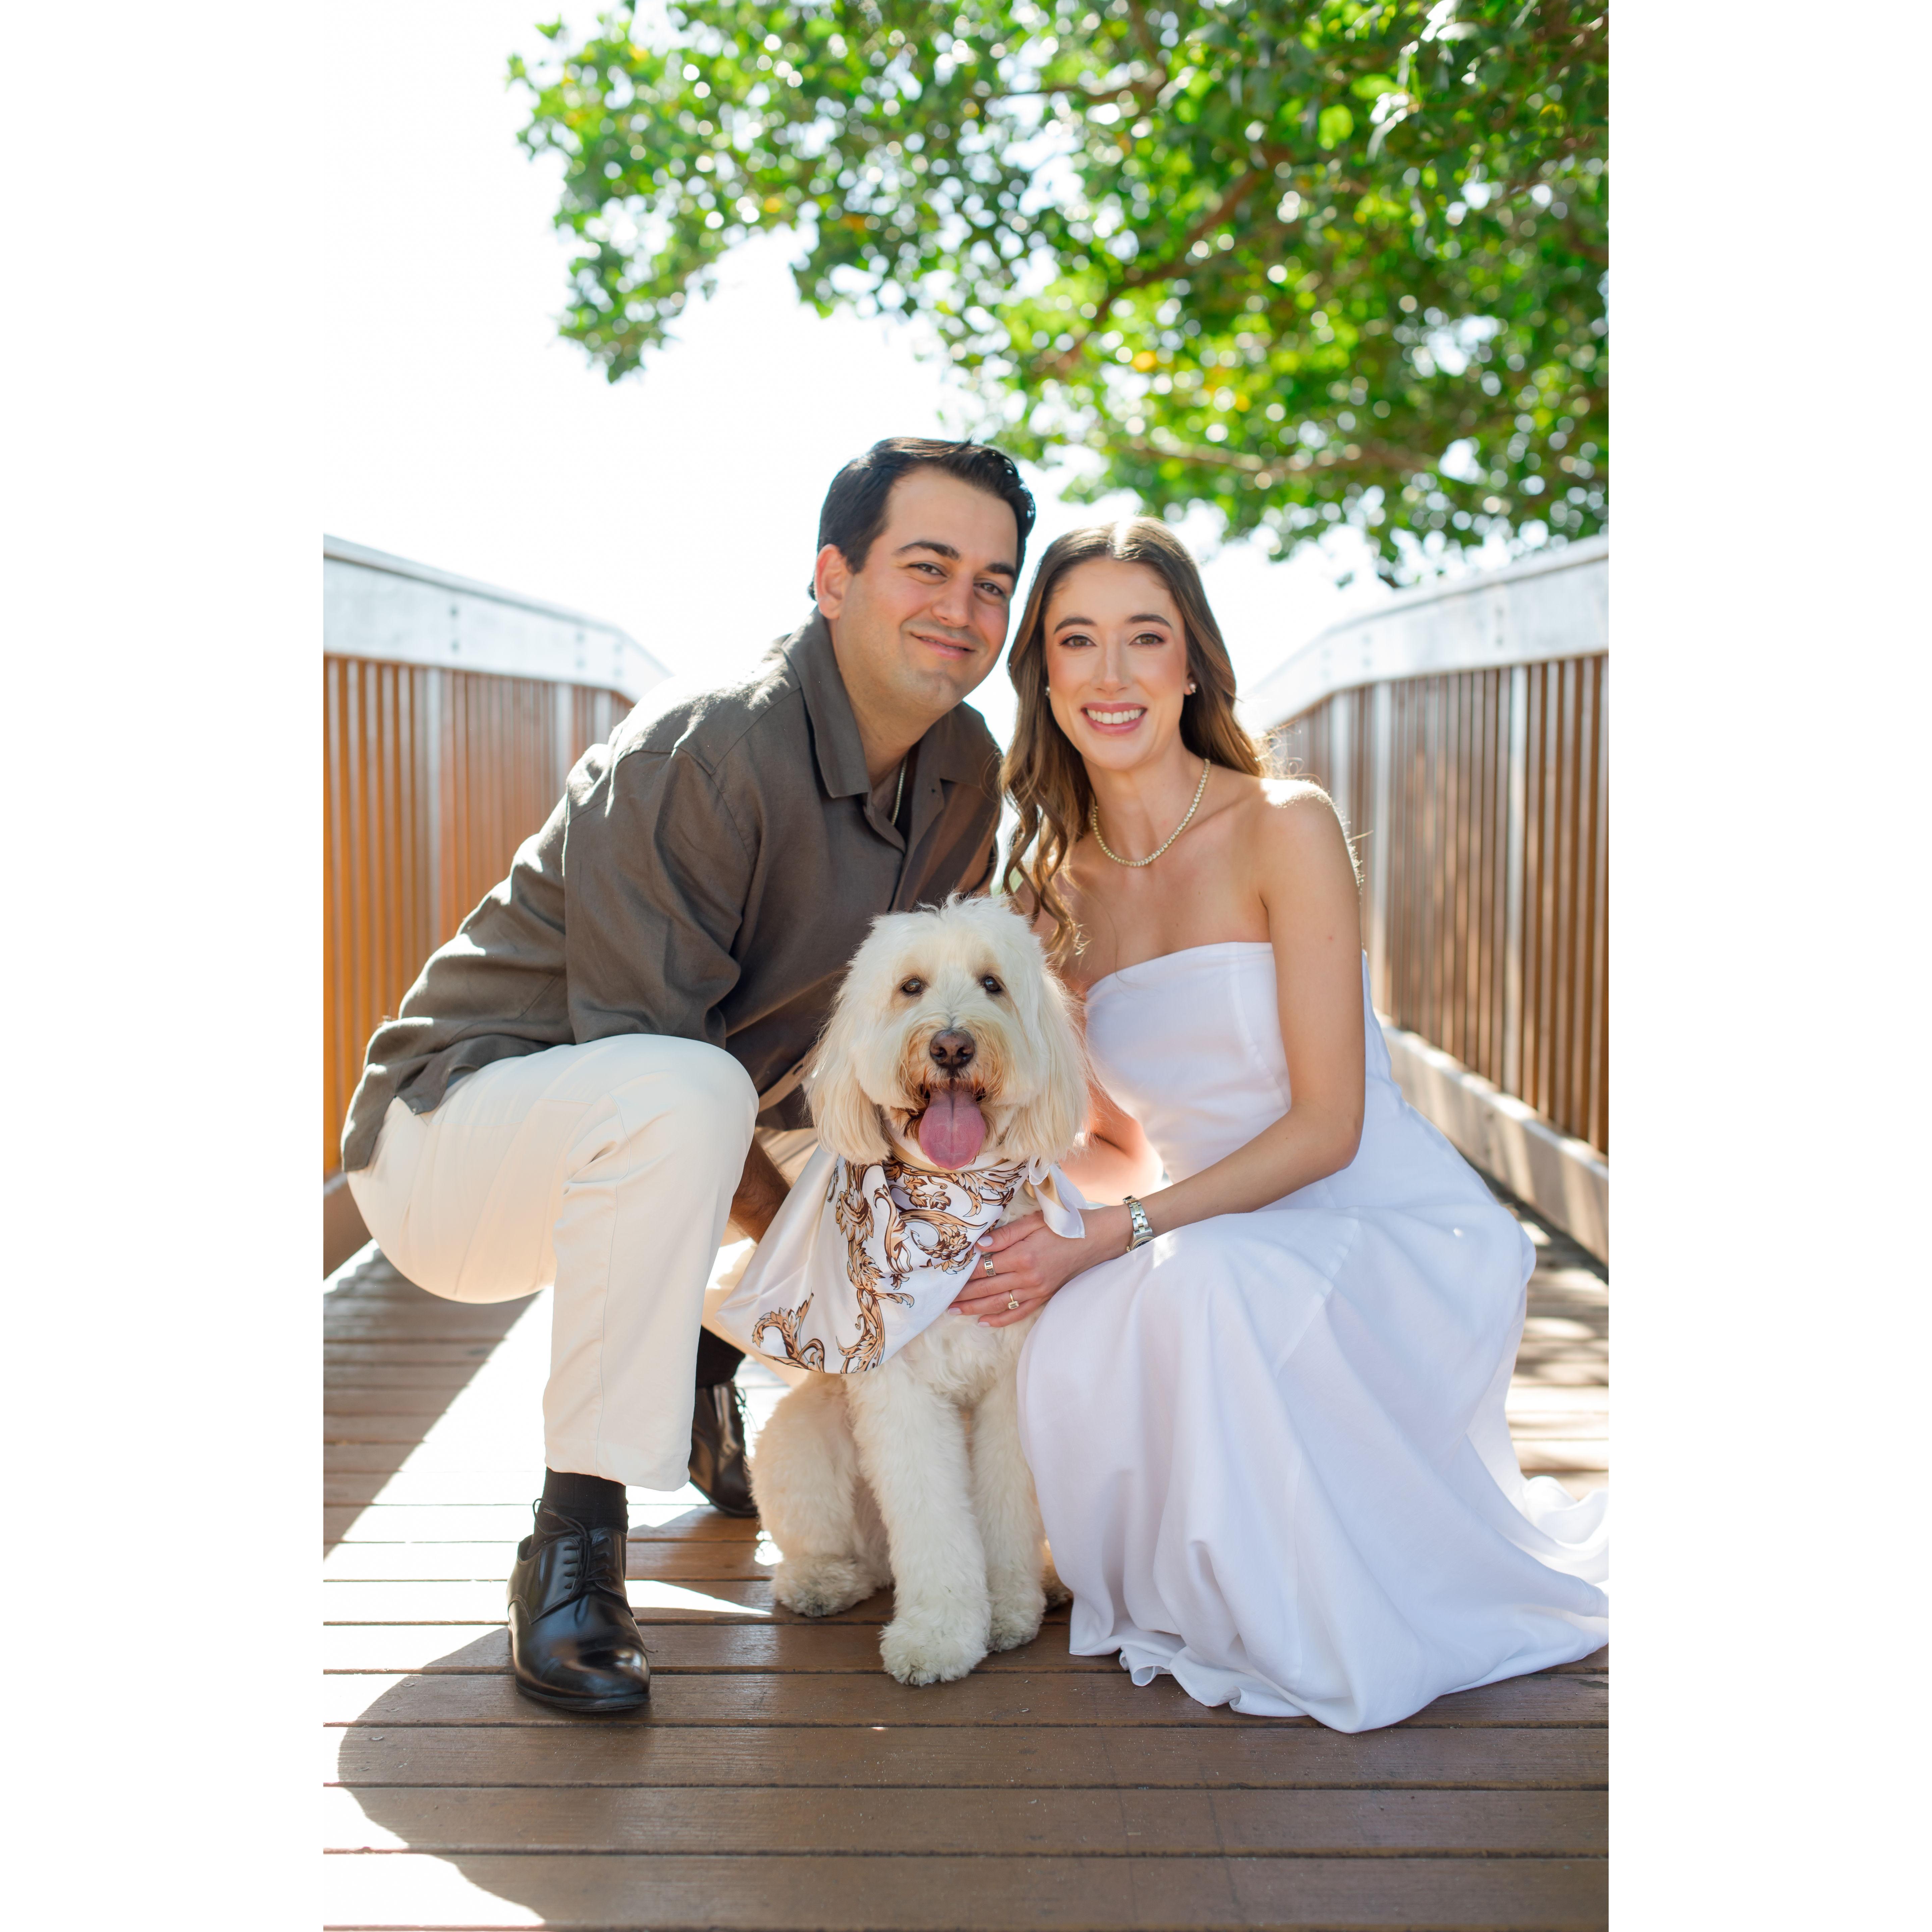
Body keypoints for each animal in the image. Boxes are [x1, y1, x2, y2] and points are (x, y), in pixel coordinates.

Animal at [747, 895, 1088, 1685]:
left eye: (993, 984)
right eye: (910, 987)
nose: (953, 1047)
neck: (952, 1196)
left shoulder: (1008, 1392)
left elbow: (1005, 1509)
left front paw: (1010, 1610)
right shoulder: (900, 1397)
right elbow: (934, 1519)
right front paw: (938, 1636)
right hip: (797, 1442)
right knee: (834, 1548)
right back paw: (822, 1581)